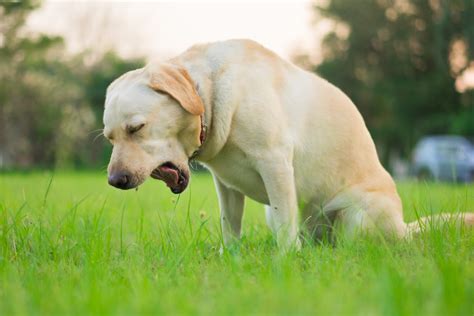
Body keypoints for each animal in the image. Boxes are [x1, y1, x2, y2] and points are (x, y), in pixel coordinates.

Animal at [105, 39, 472, 251]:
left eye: (136, 128)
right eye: (110, 137)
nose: (116, 181)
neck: (208, 93)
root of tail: (404, 229)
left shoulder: (275, 163)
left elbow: (284, 225)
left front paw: (284, 262)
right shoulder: (226, 185)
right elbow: (230, 225)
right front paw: (231, 259)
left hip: (356, 216)